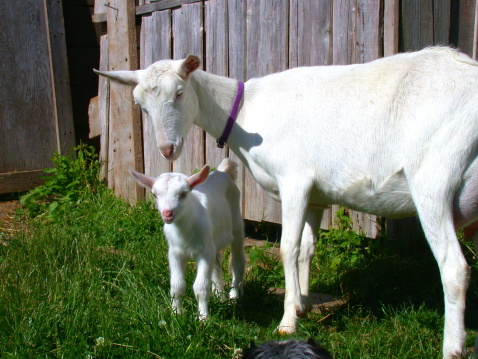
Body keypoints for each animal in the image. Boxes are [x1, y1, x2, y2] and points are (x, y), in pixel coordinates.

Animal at [97, 46, 478, 358]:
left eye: (179, 92)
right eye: (141, 106)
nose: (166, 149)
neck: (246, 112)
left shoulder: (294, 181)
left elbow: (287, 248)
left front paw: (286, 321)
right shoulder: (316, 197)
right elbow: (307, 249)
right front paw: (302, 306)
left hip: (433, 177)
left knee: (454, 267)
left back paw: (453, 348)